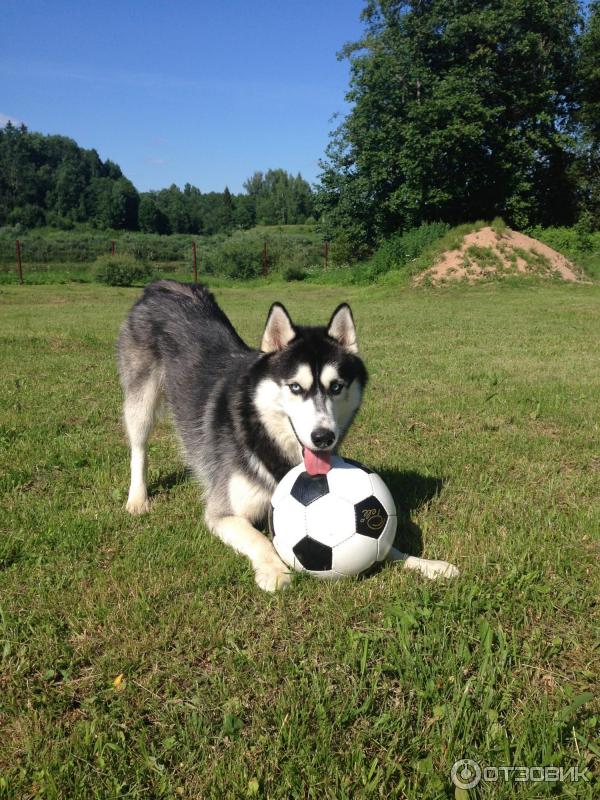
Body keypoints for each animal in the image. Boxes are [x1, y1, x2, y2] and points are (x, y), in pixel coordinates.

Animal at [117, 280, 458, 588]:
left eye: (337, 387)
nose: (323, 437)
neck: (264, 436)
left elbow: (386, 545)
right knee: (138, 448)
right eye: (295, 387)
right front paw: (275, 570)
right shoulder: (223, 514)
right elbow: (259, 539)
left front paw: (426, 564)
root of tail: (164, 285)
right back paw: (137, 498)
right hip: (140, 401)